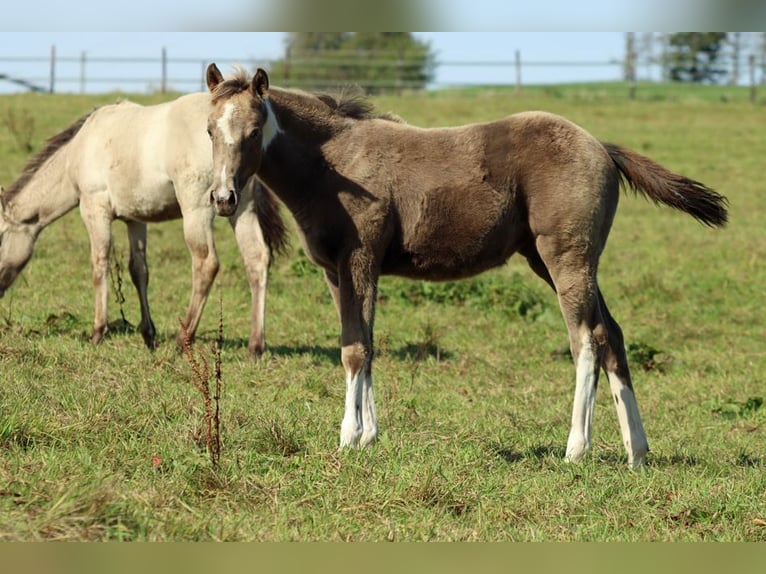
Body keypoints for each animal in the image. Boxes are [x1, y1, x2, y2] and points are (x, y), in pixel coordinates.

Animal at [0, 91, 286, 358]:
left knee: (206, 264)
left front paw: (98, 332)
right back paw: (255, 347)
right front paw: (149, 335)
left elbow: (99, 264)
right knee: (256, 259)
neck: (80, 149)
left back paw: (183, 340)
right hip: (240, 207)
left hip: (198, 208)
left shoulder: (95, 209)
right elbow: (139, 271)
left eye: (0, 237)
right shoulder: (135, 220)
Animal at [204, 63, 728, 468]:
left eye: (254, 132)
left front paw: (349, 438)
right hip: (554, 261)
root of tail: (601, 145)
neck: (334, 164)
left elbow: (354, 349)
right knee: (611, 335)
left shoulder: (360, 260)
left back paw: (576, 448)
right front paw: (369, 435)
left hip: (567, 257)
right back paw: (636, 451)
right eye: (209, 130)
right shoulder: (337, 271)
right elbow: (365, 344)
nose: (224, 198)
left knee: (585, 341)